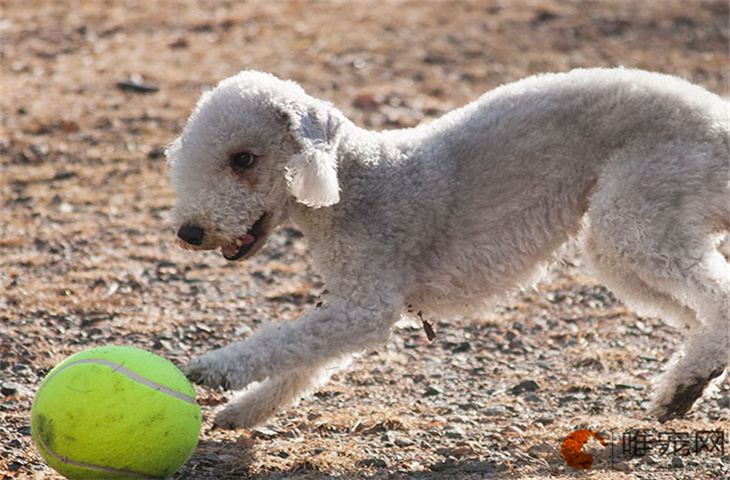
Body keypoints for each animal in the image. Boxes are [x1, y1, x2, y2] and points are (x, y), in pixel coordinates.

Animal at [166, 66, 728, 428]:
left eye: (243, 158)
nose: (189, 233)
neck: (355, 184)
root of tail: (720, 120)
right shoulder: (347, 299)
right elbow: (303, 357)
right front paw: (243, 411)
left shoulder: (365, 302)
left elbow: (286, 342)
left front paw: (215, 369)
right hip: (632, 237)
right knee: (697, 312)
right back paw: (684, 386)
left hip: (639, 207)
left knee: (717, 299)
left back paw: (688, 382)